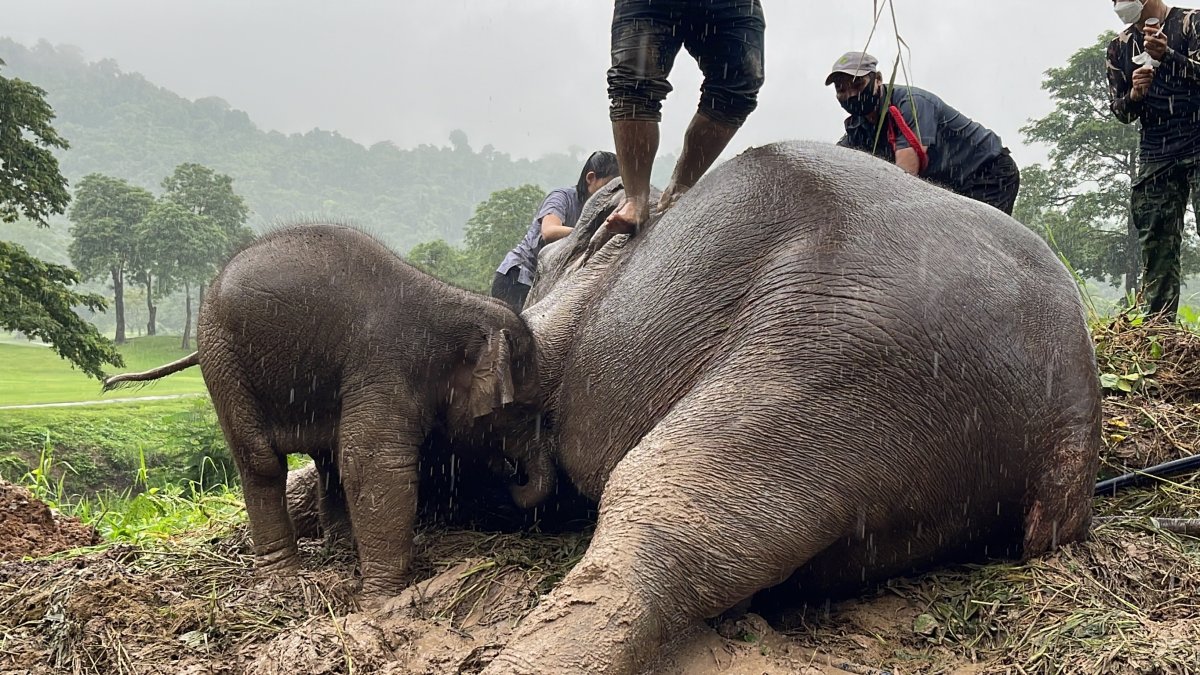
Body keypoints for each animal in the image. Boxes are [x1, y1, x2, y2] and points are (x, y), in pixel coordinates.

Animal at [103, 224, 556, 599]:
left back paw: (339, 548)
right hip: (223, 356)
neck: (456, 301)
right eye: (521, 409)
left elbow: (357, 459)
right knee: (261, 461)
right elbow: (374, 461)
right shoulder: (386, 363)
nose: (512, 480)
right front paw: (382, 598)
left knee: (327, 458)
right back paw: (281, 576)